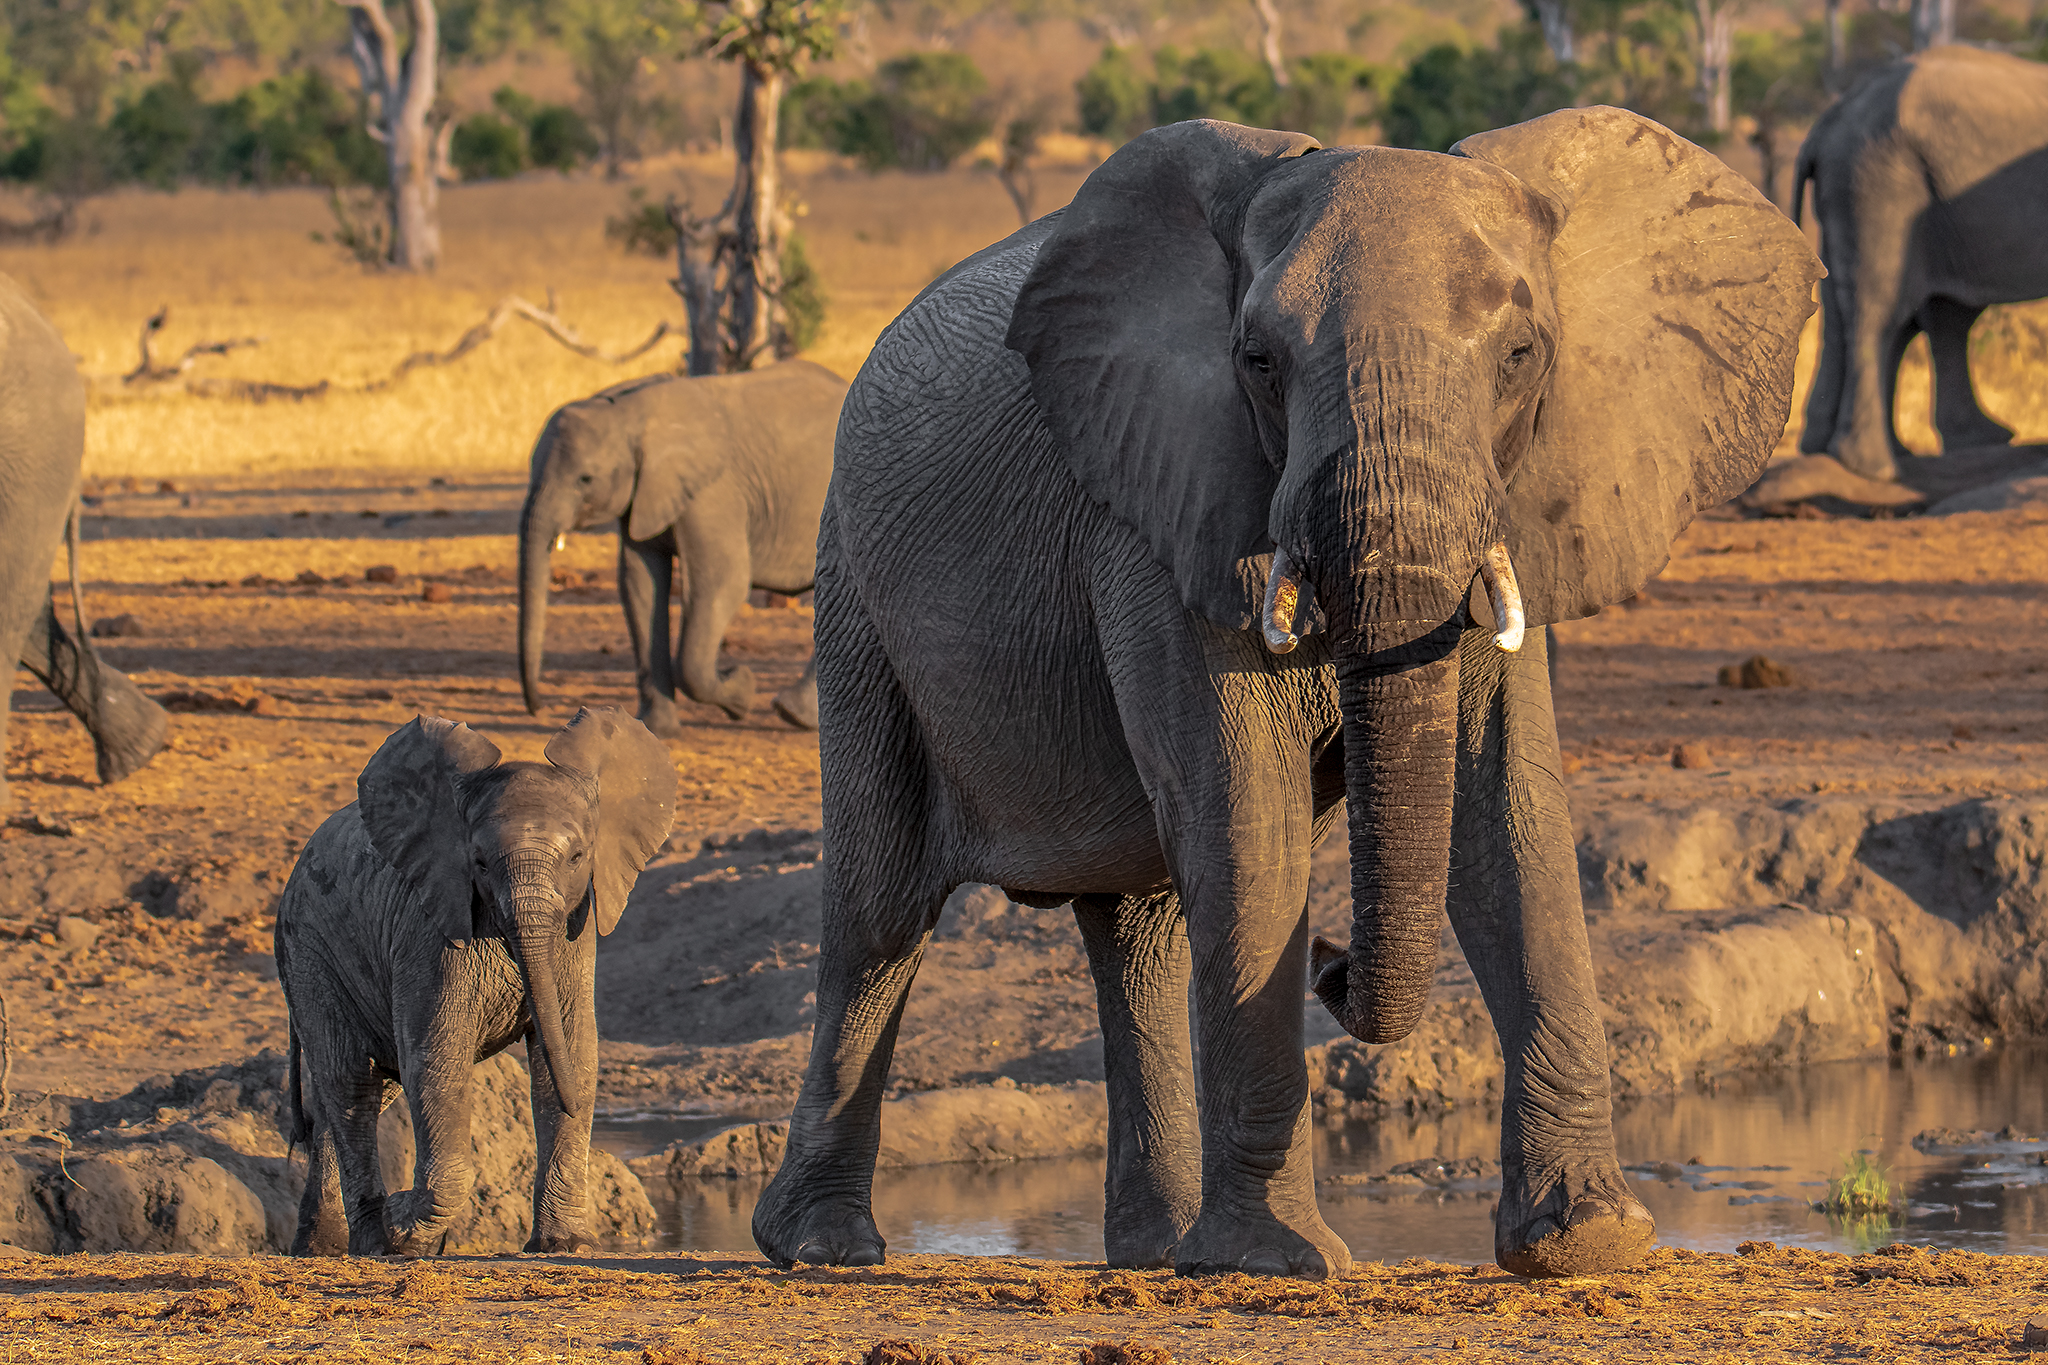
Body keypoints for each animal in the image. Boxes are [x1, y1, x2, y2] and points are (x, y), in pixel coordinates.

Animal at [276, 706, 674, 1256]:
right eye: (479, 863)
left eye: (578, 858)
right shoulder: (428, 931)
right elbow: (436, 1060)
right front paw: (404, 1227)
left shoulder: (576, 932)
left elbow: (571, 1052)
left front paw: (563, 1245)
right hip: (310, 953)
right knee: (350, 1080)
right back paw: (375, 1243)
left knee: (367, 1091)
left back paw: (323, 1248)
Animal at [518, 360, 846, 734]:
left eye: (585, 479)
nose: (538, 709)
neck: (628, 413)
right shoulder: (644, 494)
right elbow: (640, 586)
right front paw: (657, 729)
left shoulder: (714, 491)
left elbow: (724, 581)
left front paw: (741, 690)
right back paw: (797, 714)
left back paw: (793, 714)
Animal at [750, 110, 1819, 1280]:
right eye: (1257, 361)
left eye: (1521, 356)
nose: (1331, 964)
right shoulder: (1158, 509)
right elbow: (1247, 816)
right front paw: (1277, 1260)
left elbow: (1509, 820)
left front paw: (1586, 1243)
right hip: (853, 592)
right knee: (880, 913)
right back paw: (825, 1247)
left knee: (1138, 926)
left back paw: (1157, 1252)